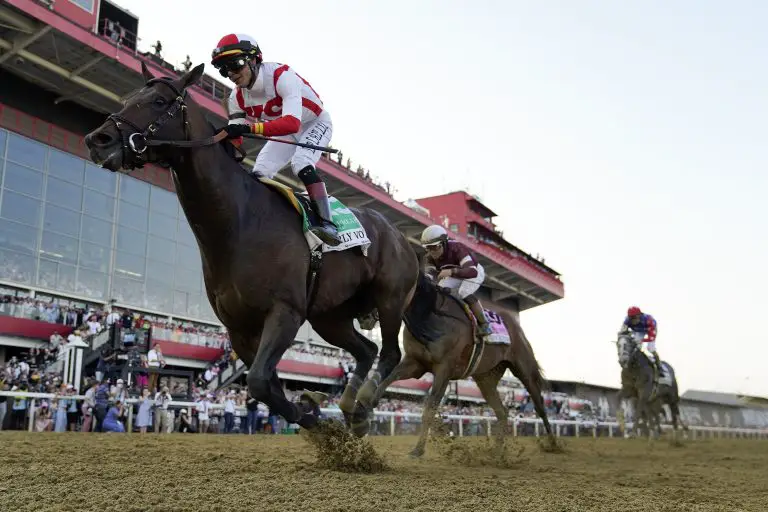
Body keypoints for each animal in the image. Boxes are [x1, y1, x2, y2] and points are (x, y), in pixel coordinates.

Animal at [85, 63, 420, 432]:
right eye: (129, 97)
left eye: (158, 101)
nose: (98, 140)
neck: (238, 222)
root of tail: (401, 236)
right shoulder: (239, 329)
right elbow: (265, 383)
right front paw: (312, 411)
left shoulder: (285, 311)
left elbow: (259, 380)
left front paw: (312, 414)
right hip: (329, 316)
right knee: (365, 350)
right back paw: (350, 409)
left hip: (390, 298)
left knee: (390, 353)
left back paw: (362, 404)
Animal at [356, 270, 556, 458]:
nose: (363, 317)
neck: (431, 316)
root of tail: (516, 328)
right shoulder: (415, 362)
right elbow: (389, 378)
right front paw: (367, 404)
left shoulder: (444, 369)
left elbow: (429, 409)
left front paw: (418, 450)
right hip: (486, 378)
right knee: (502, 412)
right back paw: (497, 452)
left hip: (524, 368)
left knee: (539, 405)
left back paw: (553, 444)